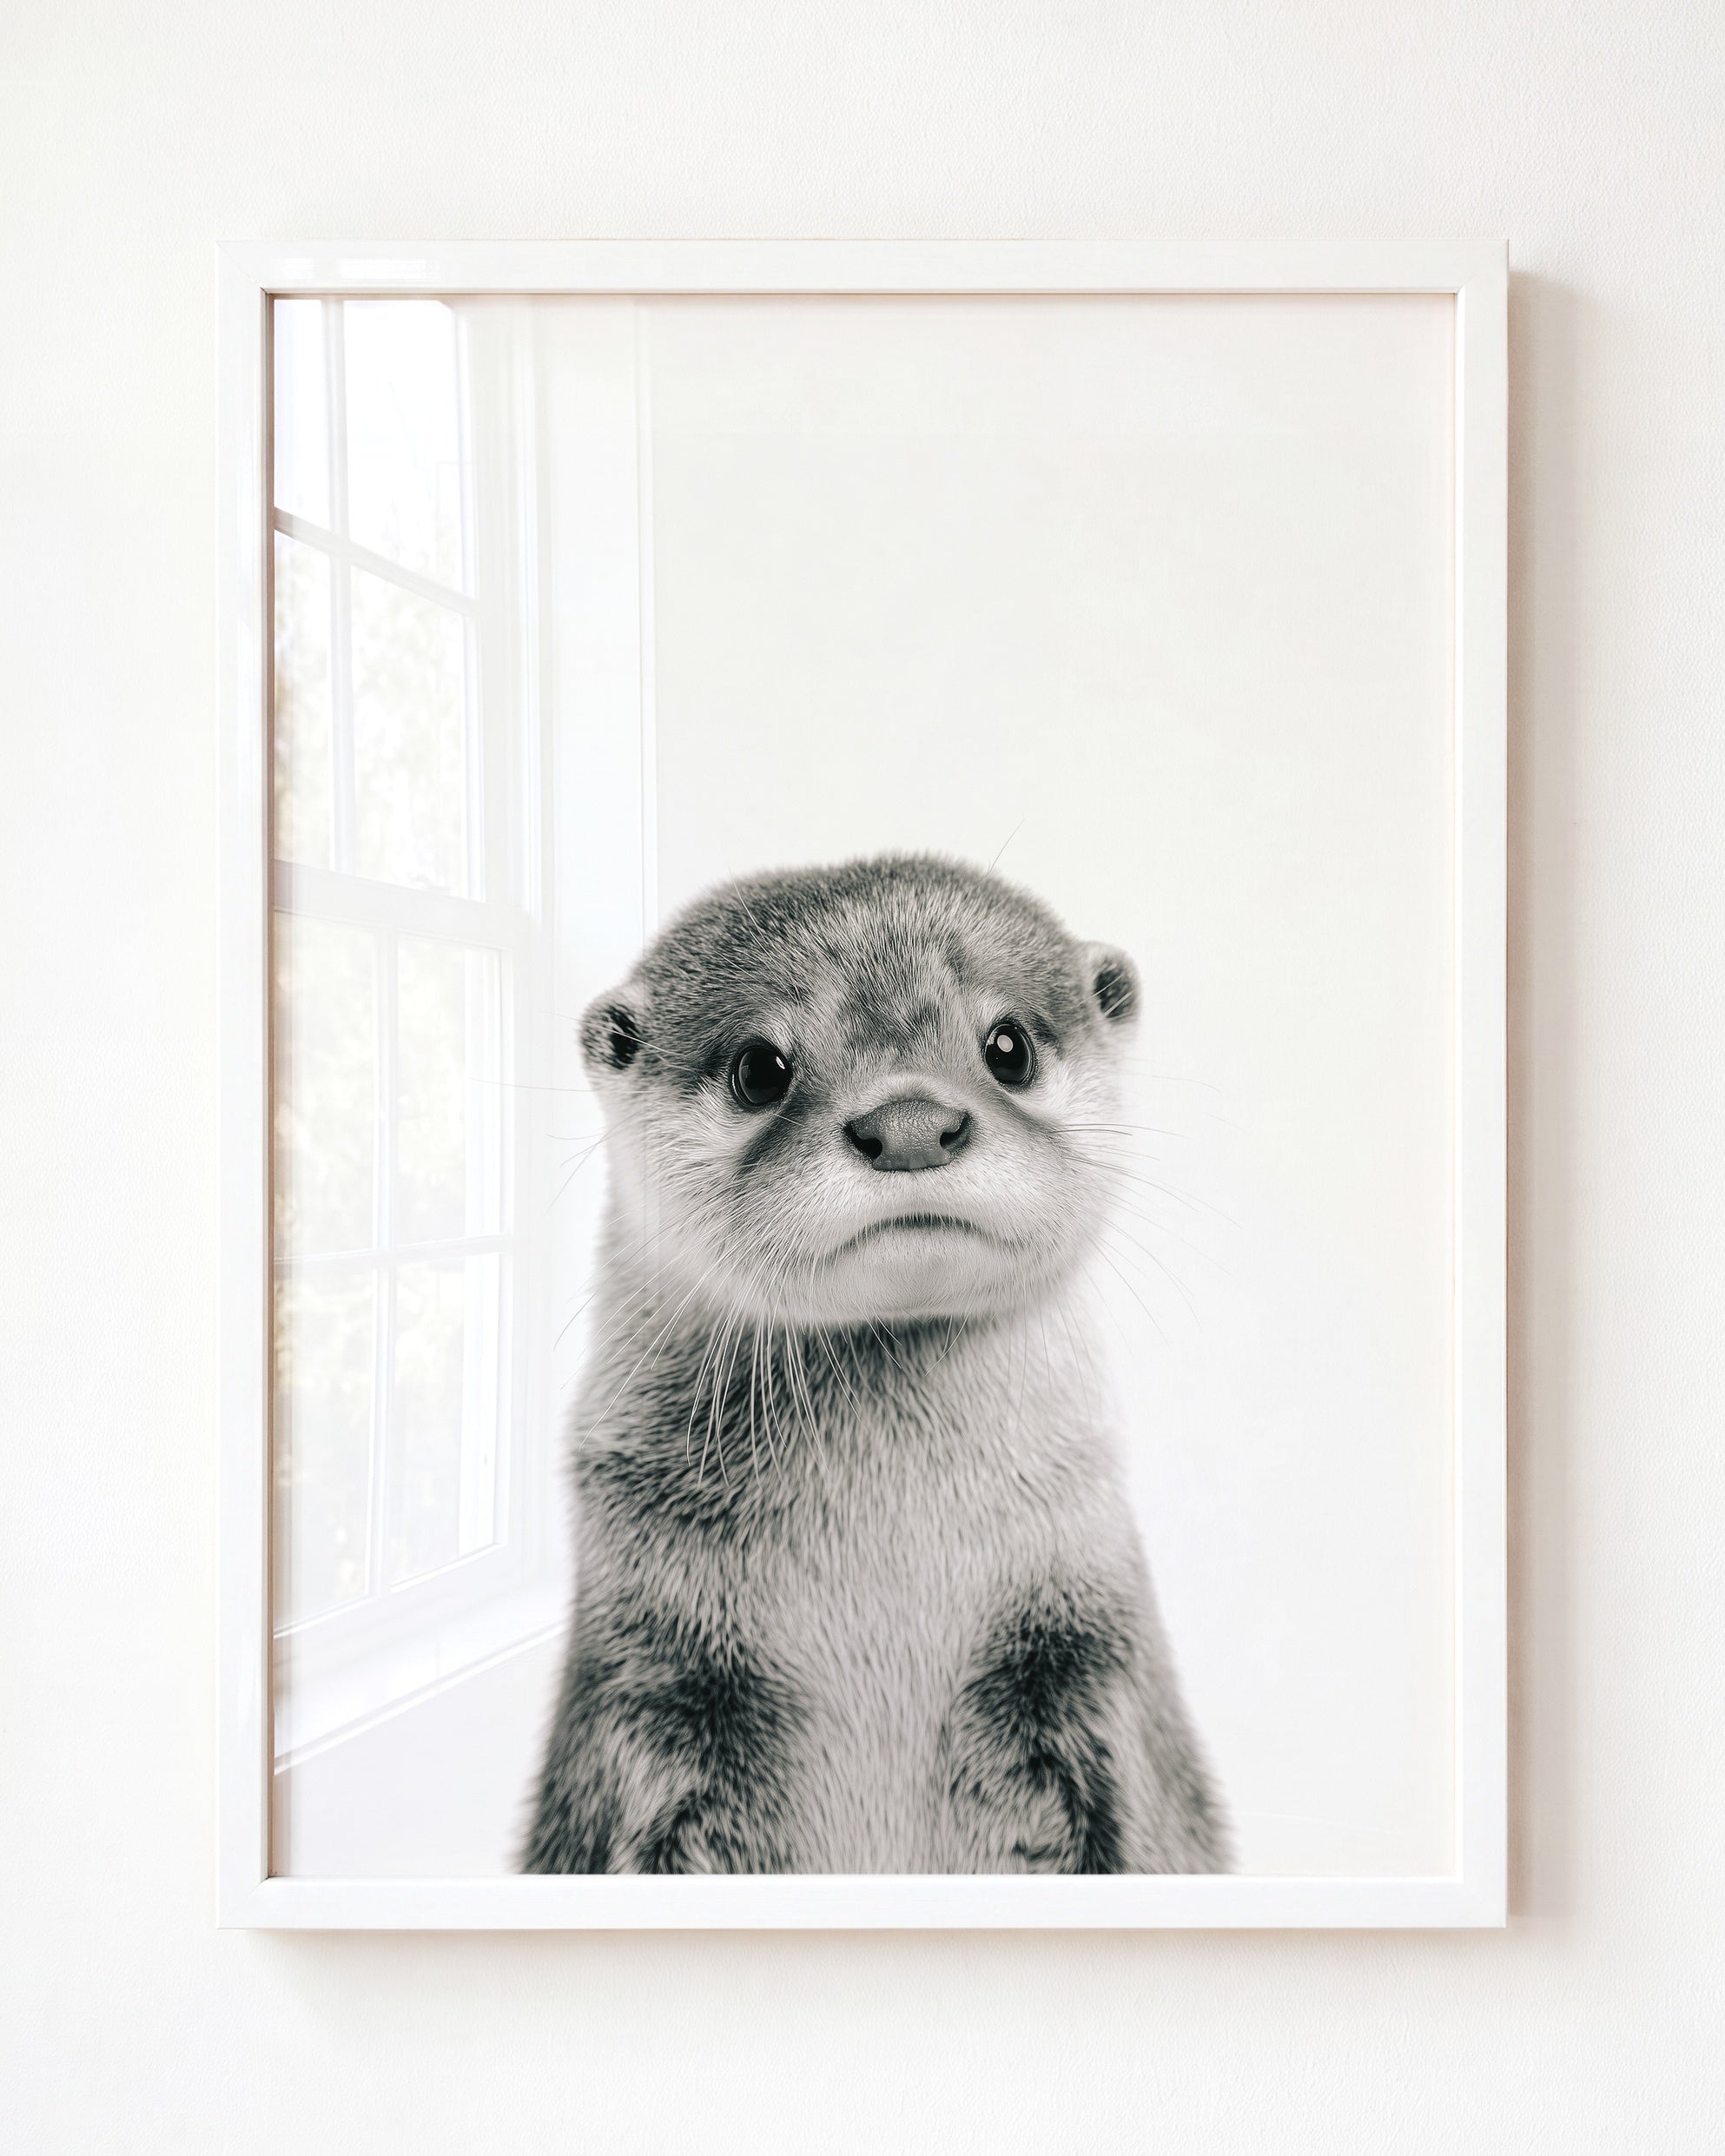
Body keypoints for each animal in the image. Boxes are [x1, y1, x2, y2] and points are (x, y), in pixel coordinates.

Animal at [522, 854, 1227, 1874]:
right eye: (760, 1068)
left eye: (1008, 1045)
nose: (910, 1123)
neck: (888, 1562)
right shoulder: (640, 1681)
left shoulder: (1101, 1668)